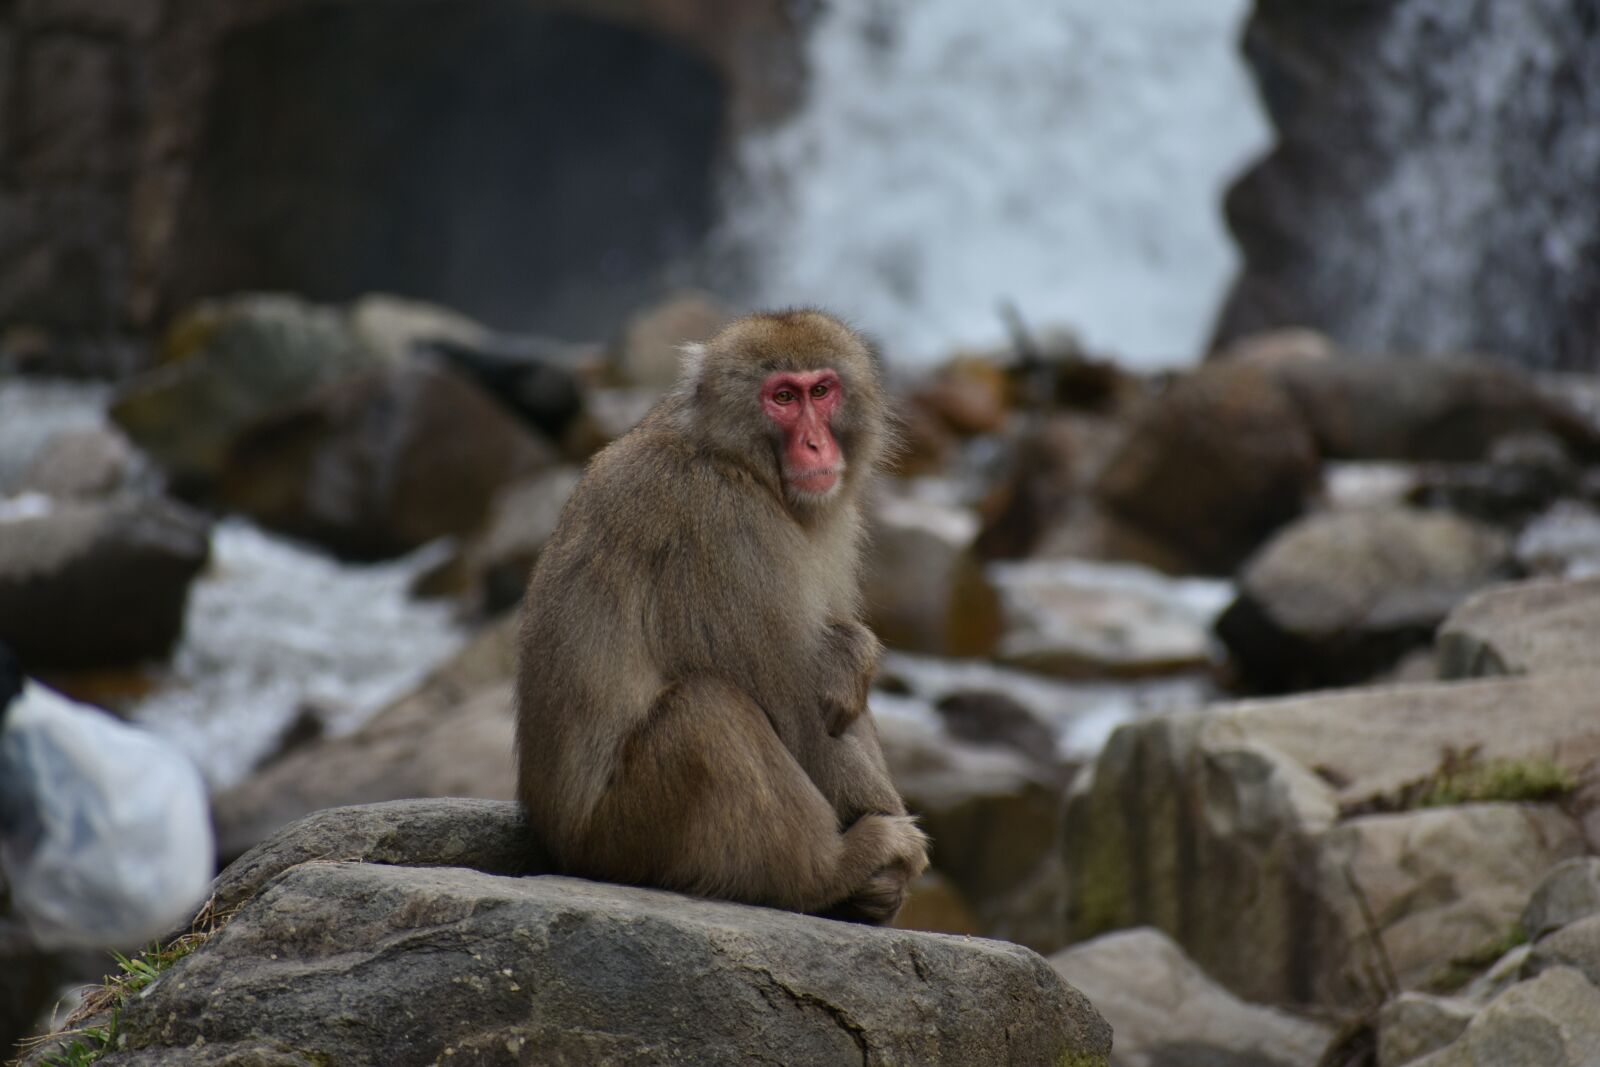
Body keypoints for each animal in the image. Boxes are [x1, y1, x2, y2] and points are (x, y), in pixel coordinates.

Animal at [514, 310, 928, 923]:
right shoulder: (725, 530)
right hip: (626, 832)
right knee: (708, 711)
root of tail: (559, 844)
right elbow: (795, 711)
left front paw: (855, 653)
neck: (732, 459)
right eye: (782, 397)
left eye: (821, 391)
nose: (814, 444)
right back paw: (829, 871)